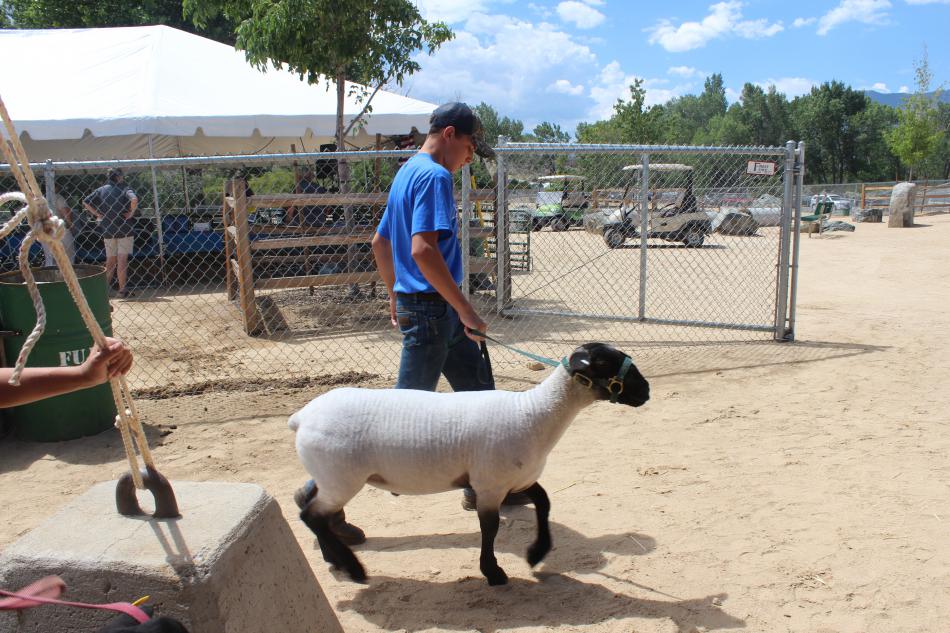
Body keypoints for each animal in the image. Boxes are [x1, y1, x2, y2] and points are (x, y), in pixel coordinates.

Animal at [288, 342, 650, 585]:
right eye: (605, 362)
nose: (646, 390)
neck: (534, 413)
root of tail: (302, 417)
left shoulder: (515, 480)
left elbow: (545, 503)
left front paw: (536, 553)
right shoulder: (489, 486)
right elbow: (489, 528)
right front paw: (493, 572)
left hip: (330, 477)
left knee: (309, 506)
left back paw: (334, 558)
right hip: (341, 478)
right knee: (312, 515)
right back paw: (353, 568)